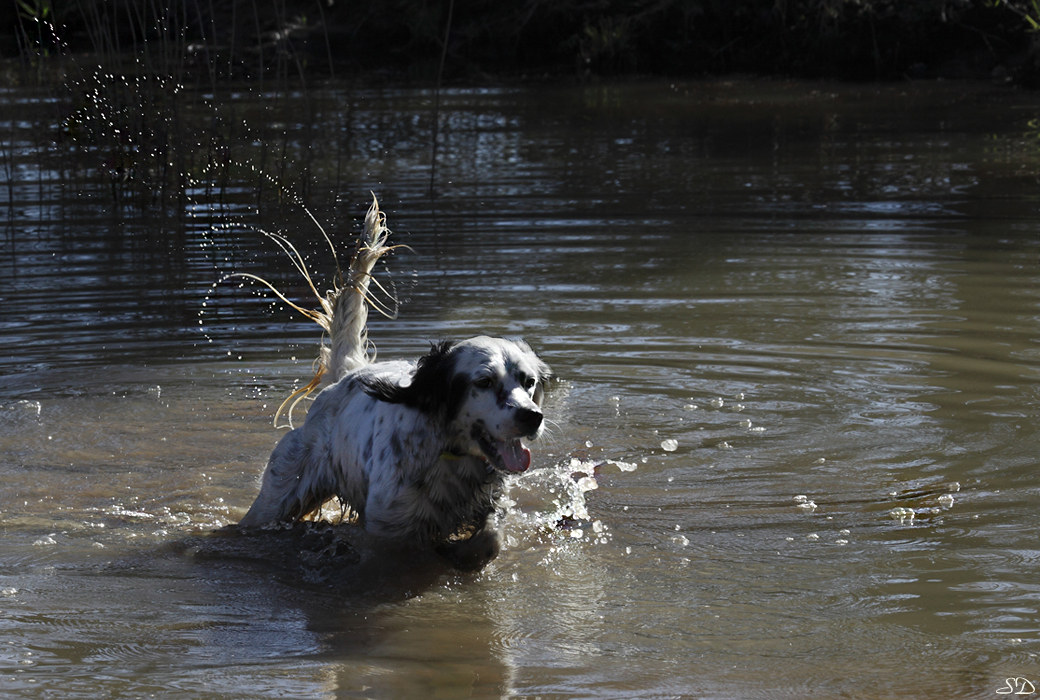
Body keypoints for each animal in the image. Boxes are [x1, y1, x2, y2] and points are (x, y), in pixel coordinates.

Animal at [238, 196, 553, 565]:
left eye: (528, 381)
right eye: (485, 382)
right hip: (278, 493)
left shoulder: (491, 501)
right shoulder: (387, 530)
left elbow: (491, 537)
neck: (449, 455)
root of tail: (347, 374)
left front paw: (464, 553)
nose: (532, 416)